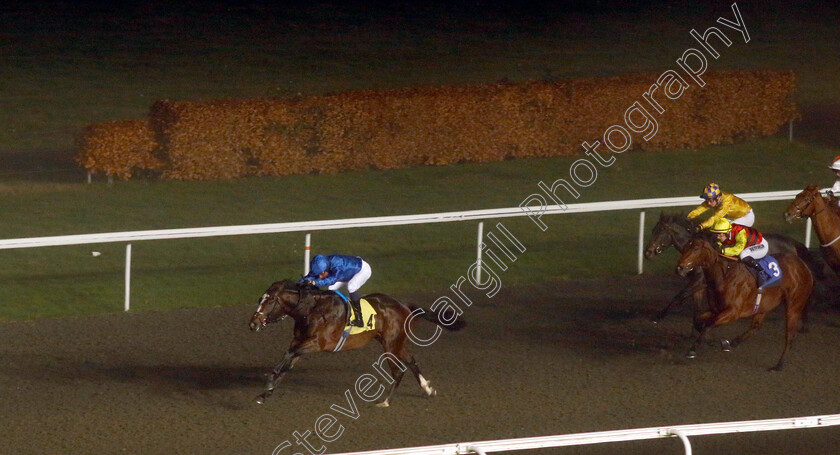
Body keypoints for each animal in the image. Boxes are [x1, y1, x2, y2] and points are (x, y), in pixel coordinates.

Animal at [249, 280, 466, 408]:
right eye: (260, 299)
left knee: (398, 371)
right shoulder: (300, 341)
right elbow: (288, 360)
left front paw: (269, 381)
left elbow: (289, 355)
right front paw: (265, 392)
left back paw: (385, 401)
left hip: (390, 345)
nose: (253, 324)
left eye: (269, 301)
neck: (311, 309)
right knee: (411, 360)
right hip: (394, 342)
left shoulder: (318, 343)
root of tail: (404, 305)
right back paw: (427, 389)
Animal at [648, 214, 824, 320]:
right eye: (652, 230)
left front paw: (658, 316)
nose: (647, 252)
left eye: (660, 232)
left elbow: (679, 296)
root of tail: (792, 242)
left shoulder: (699, 280)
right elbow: (694, 305)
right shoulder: (700, 284)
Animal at [676, 239, 812, 370]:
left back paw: (779, 365)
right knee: (756, 326)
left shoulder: (733, 312)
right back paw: (735, 341)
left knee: (790, 335)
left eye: (696, 248)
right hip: (765, 305)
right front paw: (722, 342)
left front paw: (692, 350)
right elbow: (699, 321)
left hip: (794, 306)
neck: (724, 276)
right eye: (685, 248)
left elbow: (709, 325)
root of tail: (804, 267)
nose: (680, 267)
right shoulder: (716, 309)